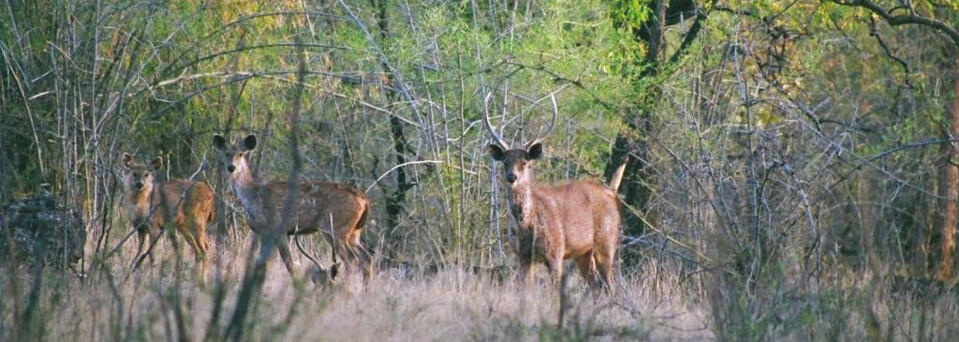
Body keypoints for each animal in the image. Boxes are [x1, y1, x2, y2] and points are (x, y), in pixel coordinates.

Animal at [212, 134, 374, 284]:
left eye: (241, 153)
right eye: (226, 153)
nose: (231, 167)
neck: (253, 196)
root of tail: (364, 201)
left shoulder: (278, 227)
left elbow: (288, 263)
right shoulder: (264, 232)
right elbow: (263, 264)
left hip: (336, 228)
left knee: (351, 261)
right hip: (354, 232)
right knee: (366, 258)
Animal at [484, 94, 628, 292]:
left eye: (524, 163)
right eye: (505, 162)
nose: (511, 176)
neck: (528, 224)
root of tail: (610, 192)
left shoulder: (556, 252)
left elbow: (554, 292)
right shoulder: (522, 257)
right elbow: (526, 291)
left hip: (606, 241)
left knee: (610, 284)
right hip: (583, 252)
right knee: (596, 285)